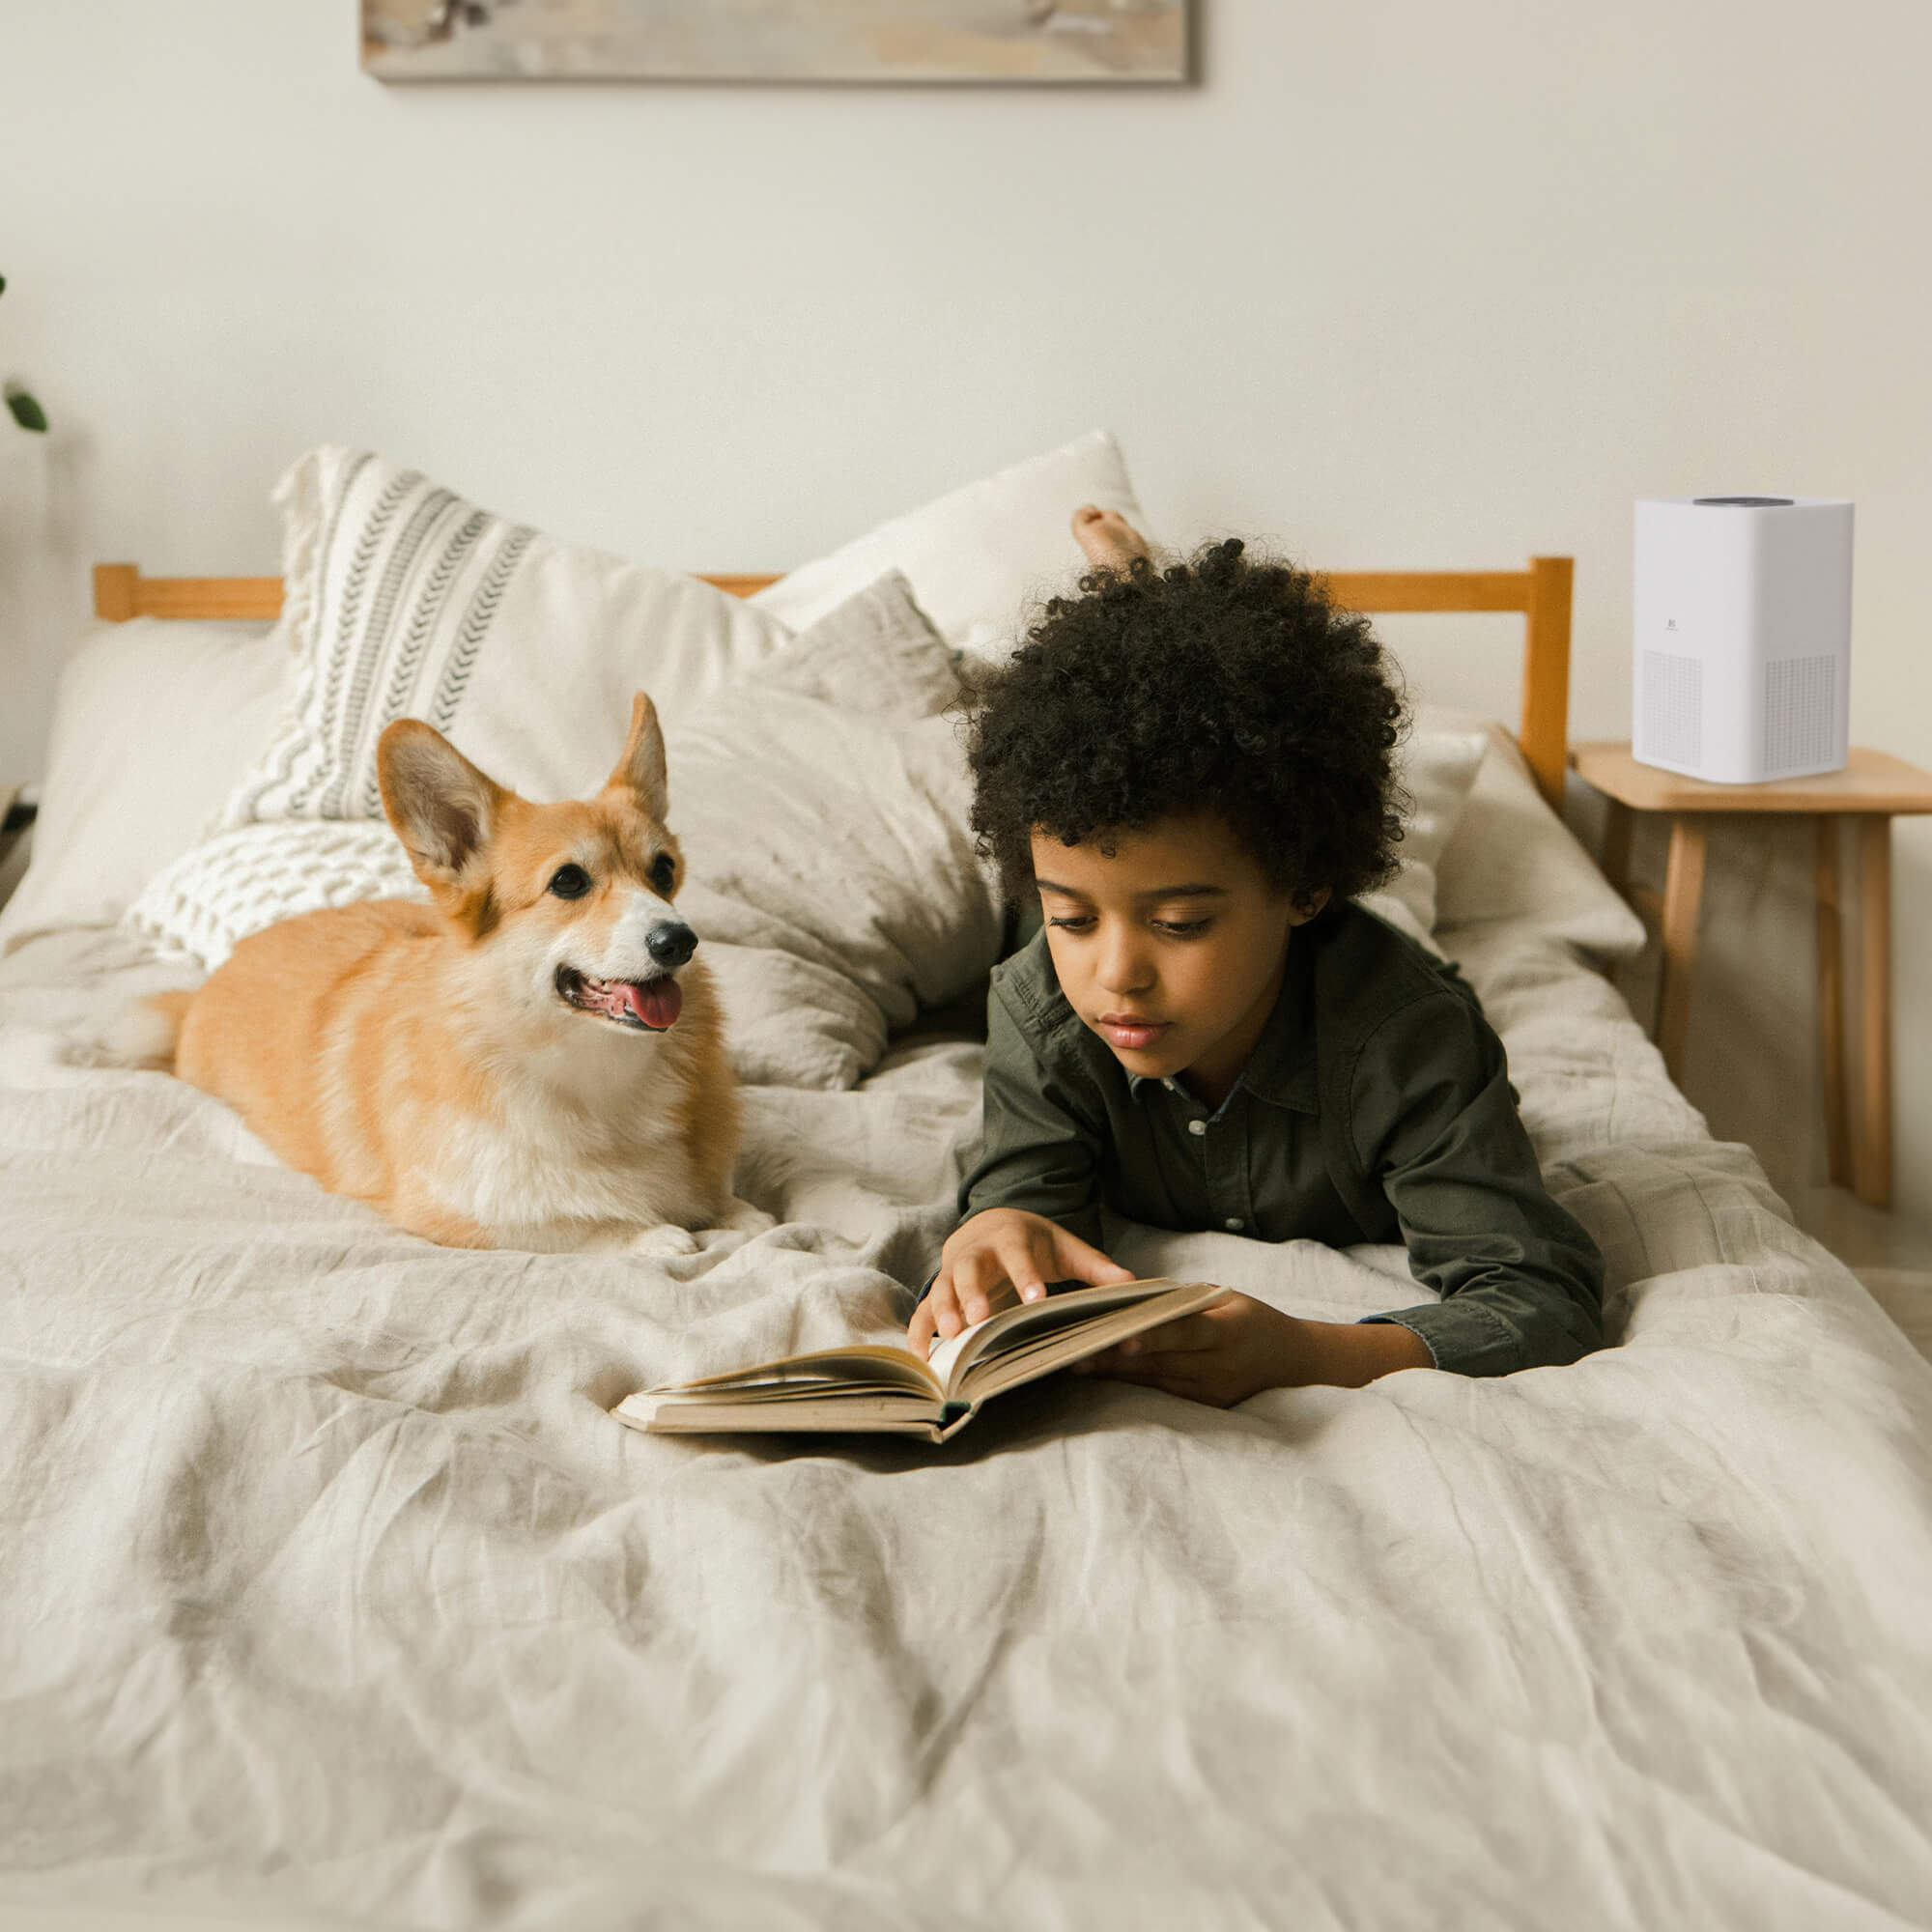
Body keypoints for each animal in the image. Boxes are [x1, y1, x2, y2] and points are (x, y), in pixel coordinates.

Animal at [151, 692, 750, 1252]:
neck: (598, 1070)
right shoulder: (455, 1213)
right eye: (568, 881)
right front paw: (653, 1235)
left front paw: (732, 1217)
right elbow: (573, 1224)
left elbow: (739, 1210)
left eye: (664, 871)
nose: (680, 941)